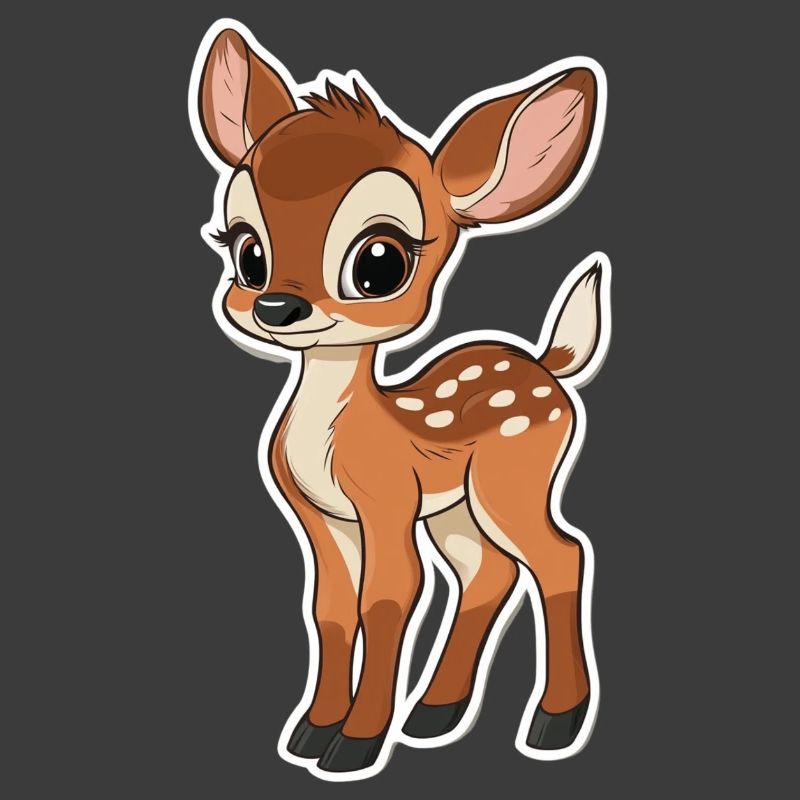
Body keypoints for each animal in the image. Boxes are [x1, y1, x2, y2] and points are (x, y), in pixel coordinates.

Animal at [190, 22, 609, 779]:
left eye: (379, 261)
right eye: (246, 250)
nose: (276, 306)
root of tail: (546, 364)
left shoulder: (385, 500)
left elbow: (387, 601)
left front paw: (354, 745)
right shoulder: (319, 515)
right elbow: (329, 608)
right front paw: (310, 733)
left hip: (514, 477)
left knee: (561, 555)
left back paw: (553, 724)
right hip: (456, 506)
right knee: (487, 571)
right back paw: (434, 713)